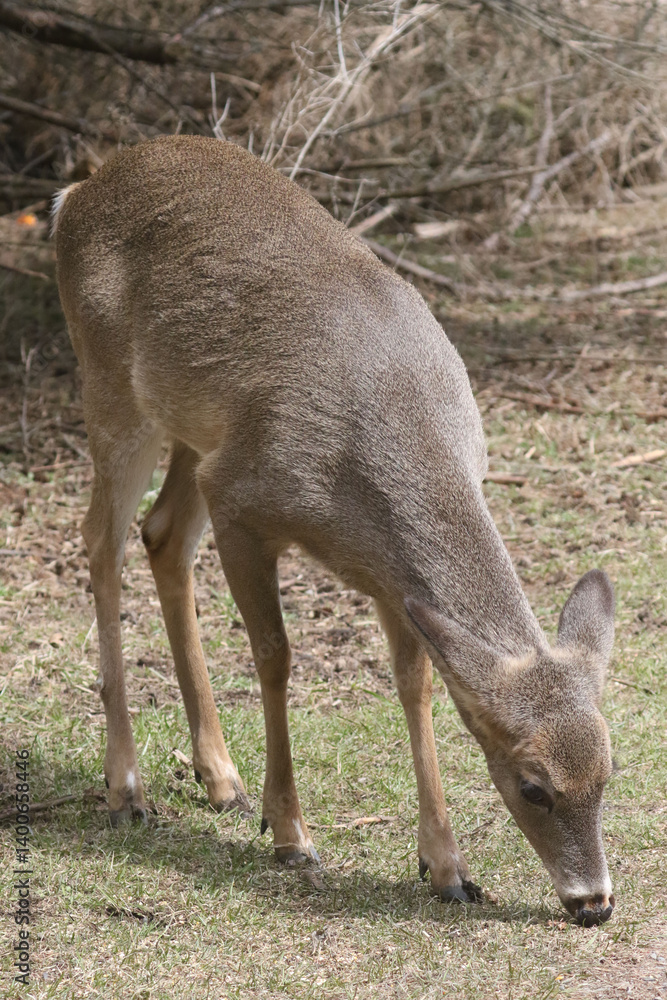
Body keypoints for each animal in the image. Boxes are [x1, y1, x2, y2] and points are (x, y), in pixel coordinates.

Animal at [53, 135, 616, 927]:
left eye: (608, 769)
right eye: (532, 784)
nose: (592, 901)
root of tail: (77, 192)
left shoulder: (390, 579)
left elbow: (415, 684)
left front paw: (446, 867)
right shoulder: (245, 504)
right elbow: (274, 656)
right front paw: (291, 834)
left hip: (199, 430)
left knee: (161, 535)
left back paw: (219, 777)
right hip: (111, 386)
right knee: (100, 542)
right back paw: (126, 788)